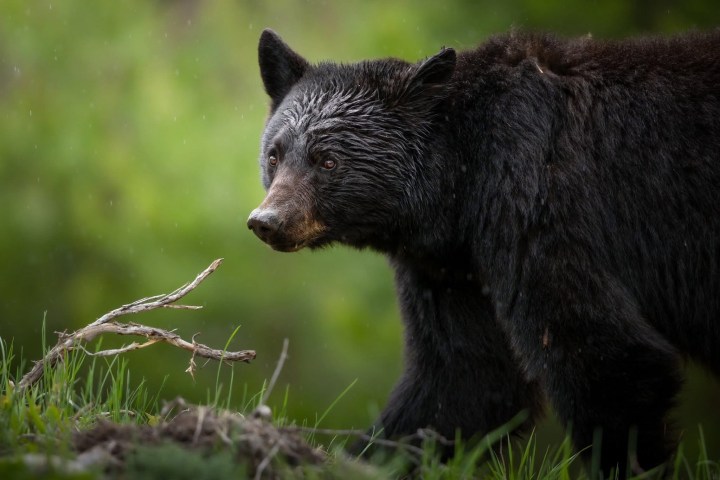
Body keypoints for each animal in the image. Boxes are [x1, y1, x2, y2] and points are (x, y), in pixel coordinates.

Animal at [247, 29, 720, 477]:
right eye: (274, 155)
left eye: (327, 160)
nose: (267, 220)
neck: (460, 185)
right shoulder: (452, 267)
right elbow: (465, 379)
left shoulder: (539, 207)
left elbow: (604, 354)